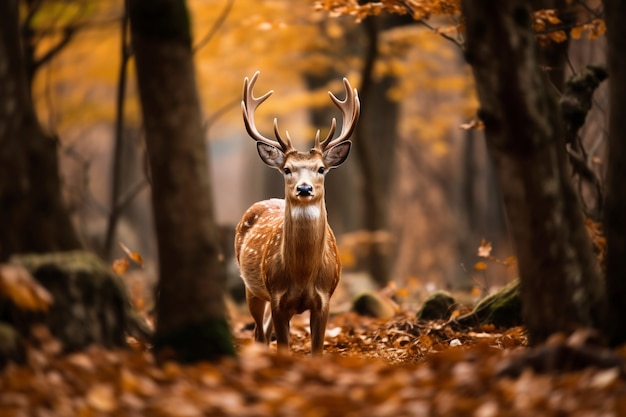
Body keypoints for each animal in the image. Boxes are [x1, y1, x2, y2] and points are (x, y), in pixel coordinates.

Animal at [234, 72, 358, 354]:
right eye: (287, 169)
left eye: (321, 168)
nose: (304, 188)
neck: (302, 275)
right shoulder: (277, 297)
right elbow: (283, 347)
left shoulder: (325, 299)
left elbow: (317, 351)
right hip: (251, 288)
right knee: (259, 333)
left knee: (263, 331)